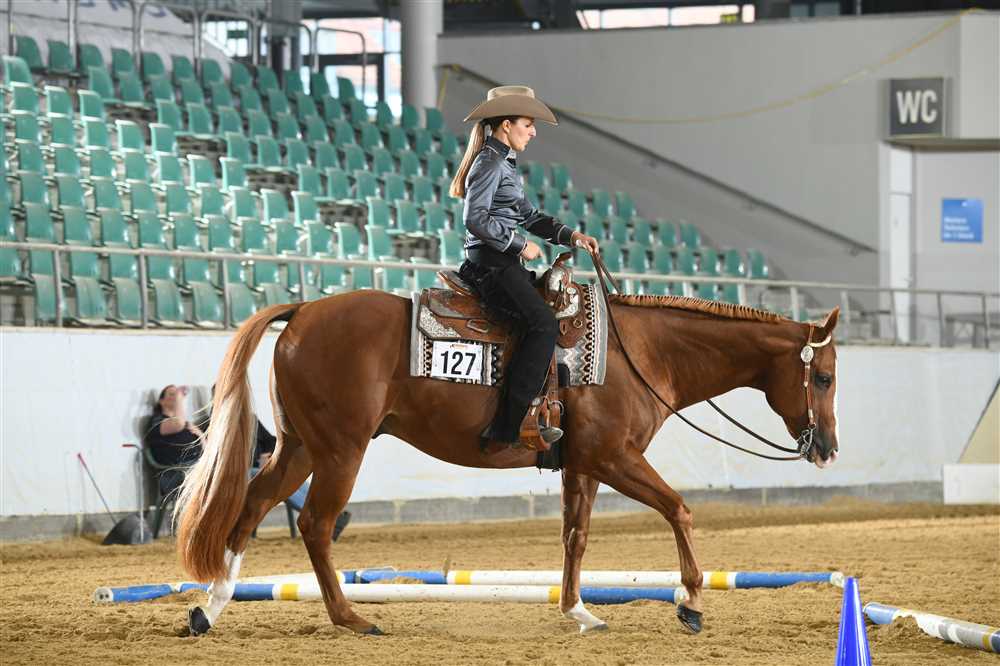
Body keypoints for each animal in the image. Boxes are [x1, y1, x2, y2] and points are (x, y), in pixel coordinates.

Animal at [174, 285, 840, 637]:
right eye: (826, 377)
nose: (828, 448)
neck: (639, 352)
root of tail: (304, 311)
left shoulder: (583, 465)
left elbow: (576, 537)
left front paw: (578, 611)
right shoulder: (614, 457)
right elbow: (679, 510)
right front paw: (691, 602)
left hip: (300, 447)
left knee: (253, 506)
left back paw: (211, 606)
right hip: (341, 450)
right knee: (314, 524)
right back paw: (350, 618)